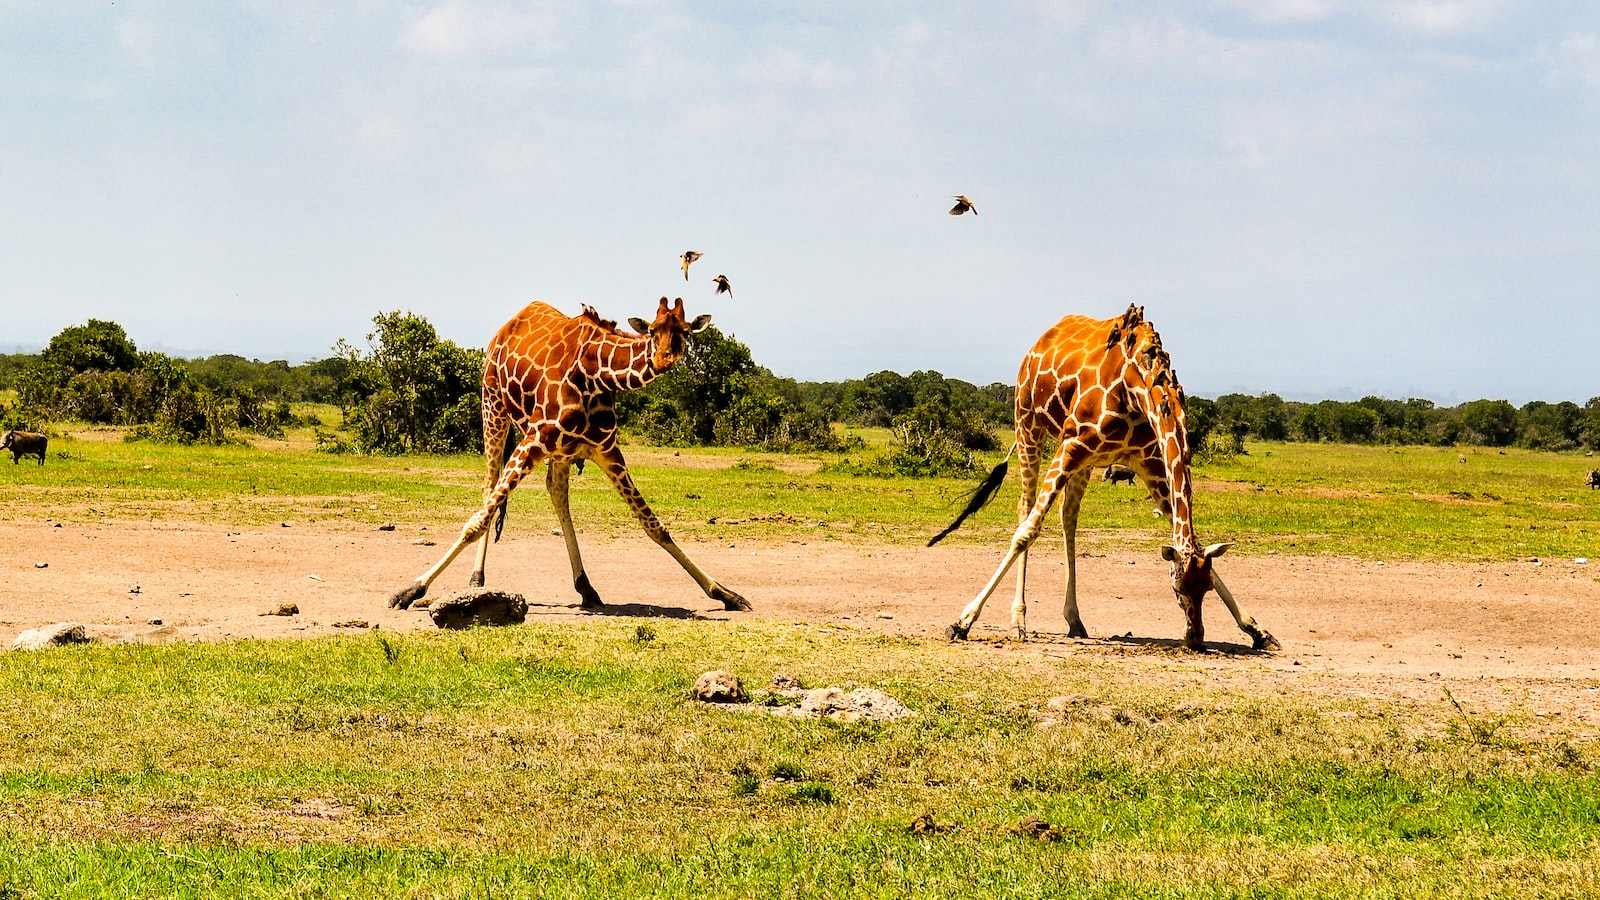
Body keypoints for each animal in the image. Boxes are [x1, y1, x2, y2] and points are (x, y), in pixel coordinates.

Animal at [385, 297, 748, 611]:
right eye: (653, 330)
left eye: (684, 332)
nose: (663, 359)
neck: (596, 374)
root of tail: (506, 327)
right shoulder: (533, 439)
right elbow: (477, 521)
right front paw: (410, 589)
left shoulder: (606, 450)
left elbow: (653, 524)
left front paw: (724, 593)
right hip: (493, 407)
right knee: (489, 488)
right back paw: (476, 579)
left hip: (558, 451)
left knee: (556, 492)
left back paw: (586, 588)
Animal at [934, 304, 1280, 646]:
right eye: (1177, 587)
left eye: (1205, 587)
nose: (1195, 635)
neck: (1138, 386)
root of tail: (1039, 342)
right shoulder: (1072, 444)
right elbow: (1026, 533)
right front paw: (962, 621)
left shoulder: (1149, 462)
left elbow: (1188, 535)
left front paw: (1256, 629)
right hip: (1028, 425)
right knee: (1025, 507)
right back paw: (1018, 620)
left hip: (1085, 459)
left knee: (1068, 516)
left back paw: (1074, 620)